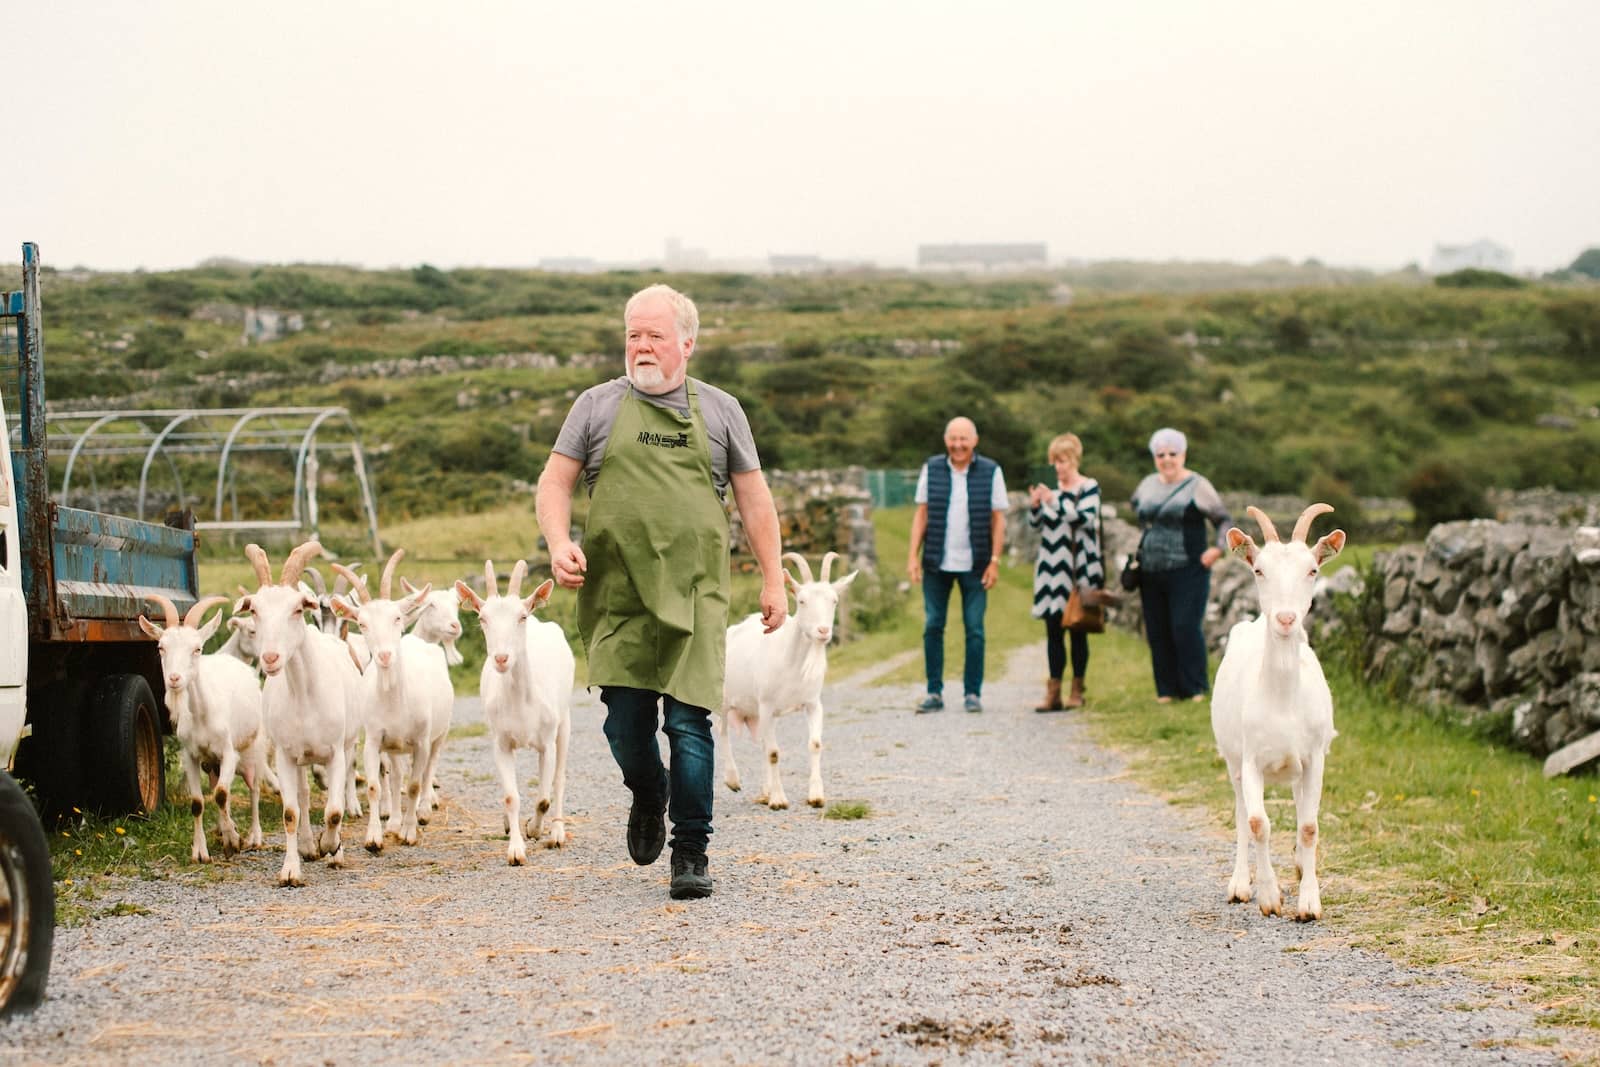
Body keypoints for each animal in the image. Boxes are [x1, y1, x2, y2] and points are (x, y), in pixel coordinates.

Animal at [139, 594, 278, 863]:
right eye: (161, 647)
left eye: (197, 649)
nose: (174, 679)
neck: (202, 715)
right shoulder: (191, 756)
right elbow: (199, 801)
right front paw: (200, 851)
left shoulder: (228, 753)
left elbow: (222, 794)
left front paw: (234, 841)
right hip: (212, 763)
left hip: (253, 748)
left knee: (253, 788)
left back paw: (254, 836)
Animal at [236, 540, 363, 886]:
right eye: (254, 611)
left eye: (296, 610)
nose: (270, 658)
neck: (306, 695)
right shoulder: (284, 755)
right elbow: (291, 812)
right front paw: (292, 869)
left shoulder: (335, 752)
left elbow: (334, 810)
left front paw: (331, 846)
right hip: (301, 757)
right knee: (304, 795)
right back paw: (307, 845)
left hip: (346, 745)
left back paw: (333, 851)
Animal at [455, 561, 574, 865]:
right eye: (482, 618)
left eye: (521, 617)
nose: (501, 658)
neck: (522, 701)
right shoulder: (501, 742)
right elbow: (511, 796)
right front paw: (516, 849)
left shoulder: (546, 742)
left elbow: (543, 797)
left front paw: (534, 829)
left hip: (564, 722)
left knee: (559, 779)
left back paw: (557, 832)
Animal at [719, 551, 858, 810]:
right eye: (801, 601)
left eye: (834, 600)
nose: (823, 631)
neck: (792, 663)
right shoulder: (767, 705)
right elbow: (774, 752)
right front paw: (778, 800)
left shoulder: (813, 703)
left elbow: (814, 744)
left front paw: (816, 796)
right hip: (723, 700)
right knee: (722, 733)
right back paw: (733, 780)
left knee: (761, 743)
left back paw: (764, 791)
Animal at [1210, 503, 1346, 921]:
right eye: (1258, 570)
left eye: (1313, 570)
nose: (1286, 619)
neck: (1283, 698)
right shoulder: (1251, 760)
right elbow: (1258, 823)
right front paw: (1270, 897)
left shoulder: (1315, 757)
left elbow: (1309, 826)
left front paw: (1309, 901)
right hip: (1233, 761)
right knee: (1241, 814)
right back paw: (1240, 884)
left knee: (1300, 807)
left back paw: (1301, 866)